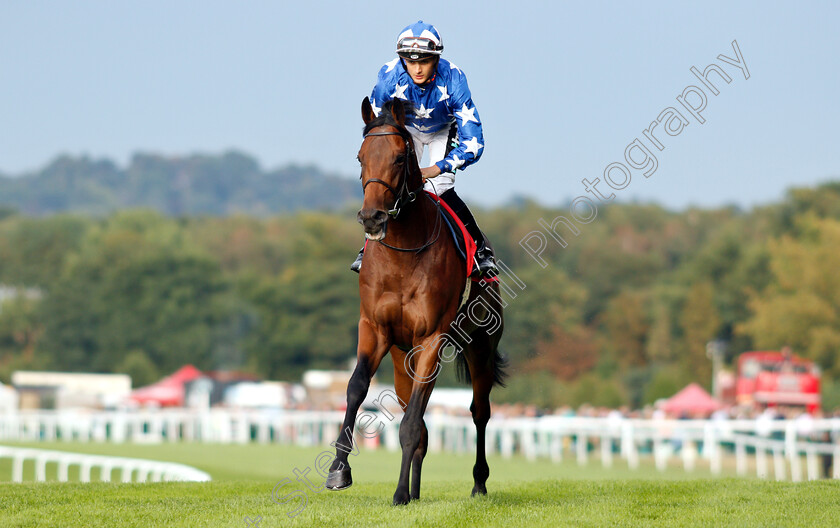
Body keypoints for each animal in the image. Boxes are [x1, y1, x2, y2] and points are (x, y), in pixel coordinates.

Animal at [324, 97, 506, 506]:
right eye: (361, 157)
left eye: (397, 157)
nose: (371, 216)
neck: (403, 254)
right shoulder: (374, 329)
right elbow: (356, 388)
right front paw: (339, 471)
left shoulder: (431, 337)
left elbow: (410, 425)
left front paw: (398, 493)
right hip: (400, 357)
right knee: (418, 416)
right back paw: (417, 490)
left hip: (480, 345)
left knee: (479, 411)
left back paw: (479, 483)